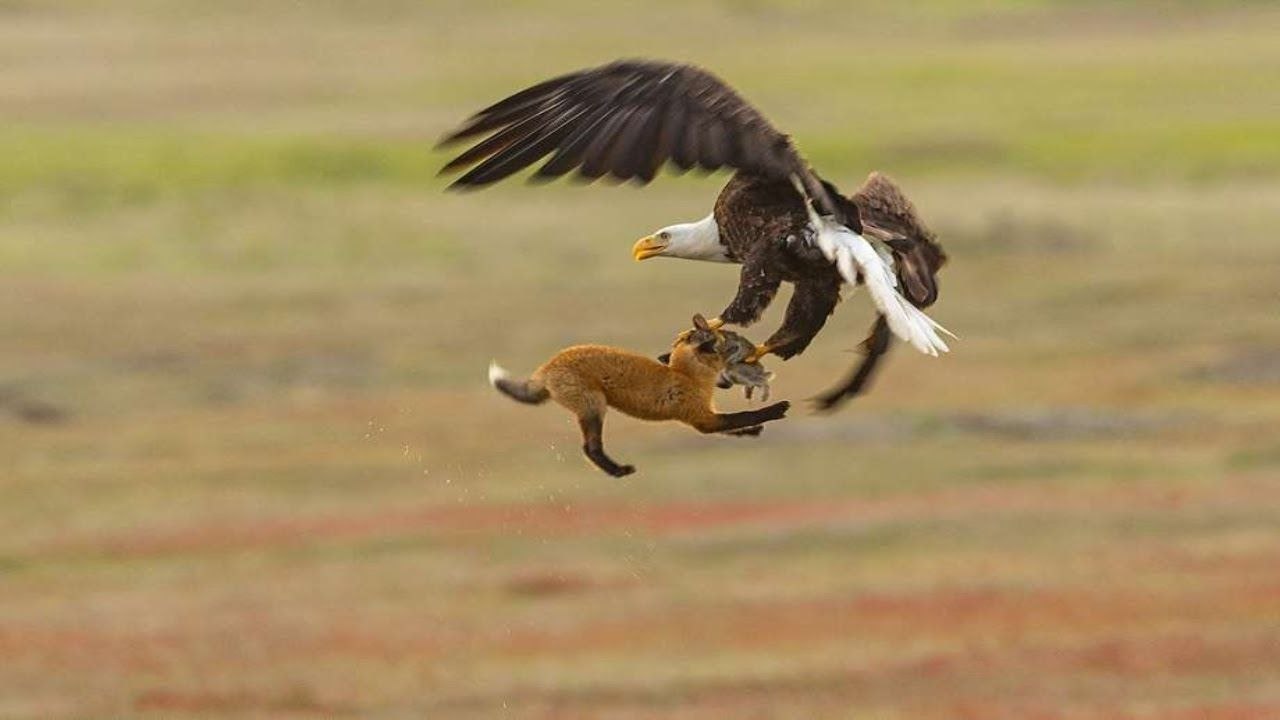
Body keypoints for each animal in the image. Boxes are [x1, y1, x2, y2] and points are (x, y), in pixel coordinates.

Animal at [488, 314, 791, 477]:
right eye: (732, 344)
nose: (753, 352)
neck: (685, 376)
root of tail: (547, 366)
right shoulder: (700, 418)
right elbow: (743, 415)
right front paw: (777, 409)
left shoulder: (707, 416)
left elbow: (735, 426)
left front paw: (753, 432)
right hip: (594, 407)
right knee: (590, 448)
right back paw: (618, 471)